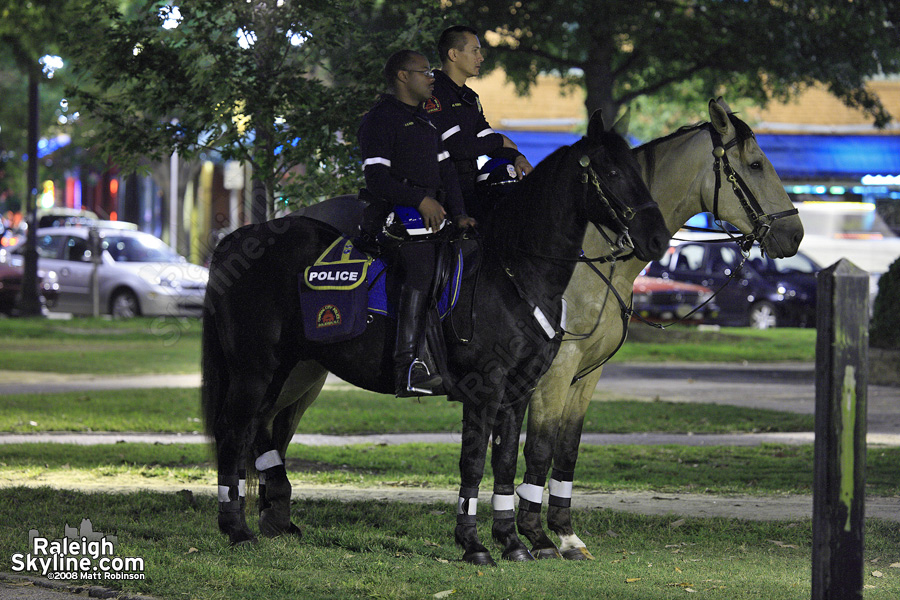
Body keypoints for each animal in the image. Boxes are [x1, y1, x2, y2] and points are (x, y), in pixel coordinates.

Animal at [199, 110, 676, 564]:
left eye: (637, 168)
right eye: (611, 171)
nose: (657, 238)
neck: (513, 272)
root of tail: (236, 240)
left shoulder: (519, 390)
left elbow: (506, 461)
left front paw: (513, 541)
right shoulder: (486, 388)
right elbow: (473, 463)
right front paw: (474, 544)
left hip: (284, 368)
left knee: (256, 430)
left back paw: (271, 520)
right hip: (255, 369)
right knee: (233, 432)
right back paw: (236, 529)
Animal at [510, 96, 804, 560]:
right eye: (756, 164)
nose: (795, 233)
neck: (591, 256)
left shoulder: (587, 373)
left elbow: (567, 446)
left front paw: (565, 534)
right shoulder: (556, 367)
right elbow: (538, 446)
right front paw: (534, 537)